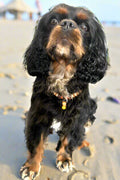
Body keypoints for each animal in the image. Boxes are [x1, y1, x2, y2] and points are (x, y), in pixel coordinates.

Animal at [19, 3, 108, 179]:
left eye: (84, 27)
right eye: (53, 20)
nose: (67, 24)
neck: (62, 72)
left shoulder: (77, 115)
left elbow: (69, 138)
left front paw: (65, 159)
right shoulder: (38, 114)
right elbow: (36, 143)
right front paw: (31, 166)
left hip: (91, 106)